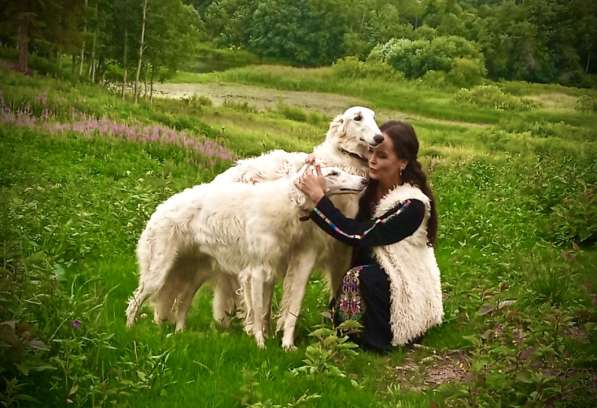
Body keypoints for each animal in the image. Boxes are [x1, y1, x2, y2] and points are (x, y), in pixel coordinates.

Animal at [126, 166, 368, 348]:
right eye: (333, 173)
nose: (364, 180)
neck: (286, 203)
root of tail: (160, 209)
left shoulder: (269, 274)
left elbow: (263, 312)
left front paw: (275, 342)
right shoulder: (256, 271)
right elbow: (258, 312)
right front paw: (260, 344)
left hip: (196, 272)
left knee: (181, 303)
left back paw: (179, 333)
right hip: (158, 271)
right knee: (135, 300)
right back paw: (129, 328)